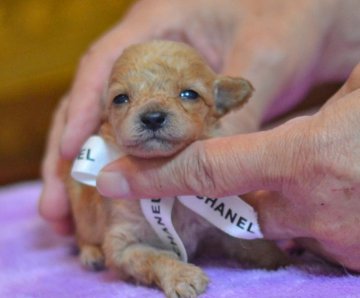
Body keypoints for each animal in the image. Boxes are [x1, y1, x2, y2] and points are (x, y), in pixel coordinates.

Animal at [66, 41, 288, 298]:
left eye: (189, 94)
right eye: (120, 99)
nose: (152, 117)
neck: (170, 197)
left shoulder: (216, 225)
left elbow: (247, 242)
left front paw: (277, 257)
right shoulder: (124, 244)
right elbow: (156, 256)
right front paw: (182, 275)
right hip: (82, 211)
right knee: (82, 235)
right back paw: (91, 254)